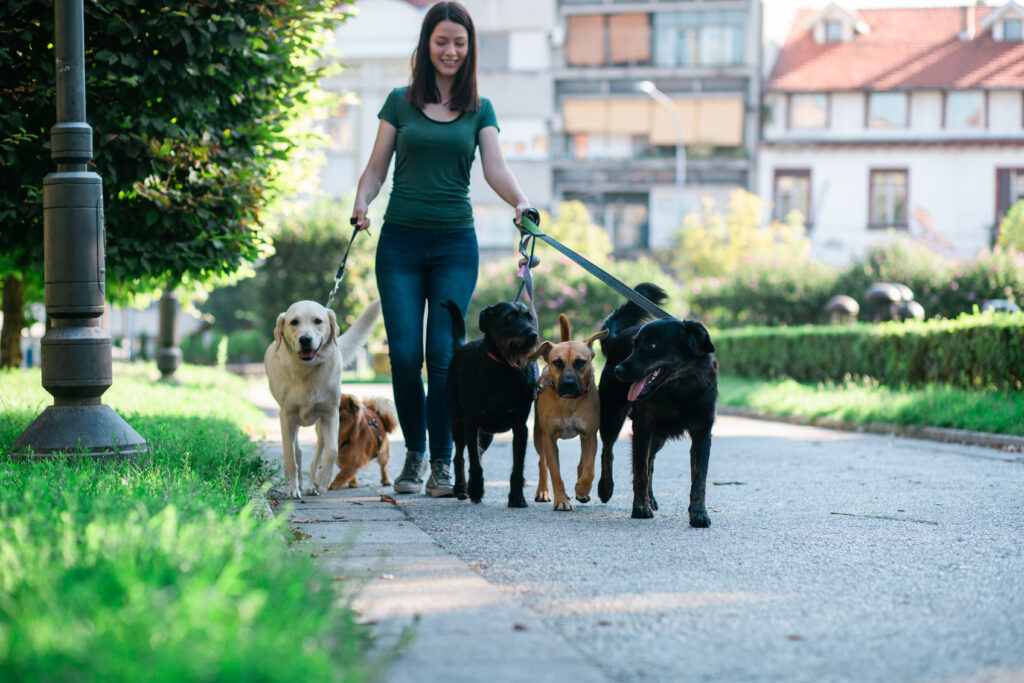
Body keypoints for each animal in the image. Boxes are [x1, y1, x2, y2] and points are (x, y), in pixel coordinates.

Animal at [264, 299, 380, 497]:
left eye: (318, 321)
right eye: (294, 322)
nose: (305, 339)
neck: (306, 369)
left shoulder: (331, 415)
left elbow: (332, 451)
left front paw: (324, 481)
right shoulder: (286, 417)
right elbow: (290, 457)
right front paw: (292, 488)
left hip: (319, 426)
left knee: (317, 454)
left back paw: (312, 484)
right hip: (293, 424)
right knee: (297, 451)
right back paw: (299, 483)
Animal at [440, 301, 540, 507]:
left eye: (529, 317)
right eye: (508, 317)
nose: (532, 335)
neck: (504, 368)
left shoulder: (520, 427)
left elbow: (517, 466)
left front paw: (516, 497)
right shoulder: (471, 424)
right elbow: (474, 464)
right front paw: (476, 490)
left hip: (486, 436)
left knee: (476, 452)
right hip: (457, 424)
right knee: (459, 456)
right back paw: (461, 488)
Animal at [532, 313, 602, 509]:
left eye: (581, 362)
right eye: (557, 362)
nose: (569, 383)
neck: (570, 402)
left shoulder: (590, 435)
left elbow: (590, 469)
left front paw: (582, 489)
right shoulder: (549, 438)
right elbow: (555, 473)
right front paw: (561, 500)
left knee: (582, 464)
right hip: (538, 435)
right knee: (542, 463)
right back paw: (543, 491)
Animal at [598, 284, 716, 528]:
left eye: (651, 345)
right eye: (634, 345)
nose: (618, 370)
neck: (679, 390)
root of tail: (614, 339)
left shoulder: (702, 434)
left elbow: (699, 478)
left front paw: (698, 513)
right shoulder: (642, 428)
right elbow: (640, 472)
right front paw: (640, 508)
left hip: (659, 435)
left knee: (650, 461)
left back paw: (651, 498)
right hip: (613, 416)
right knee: (608, 450)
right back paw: (605, 488)